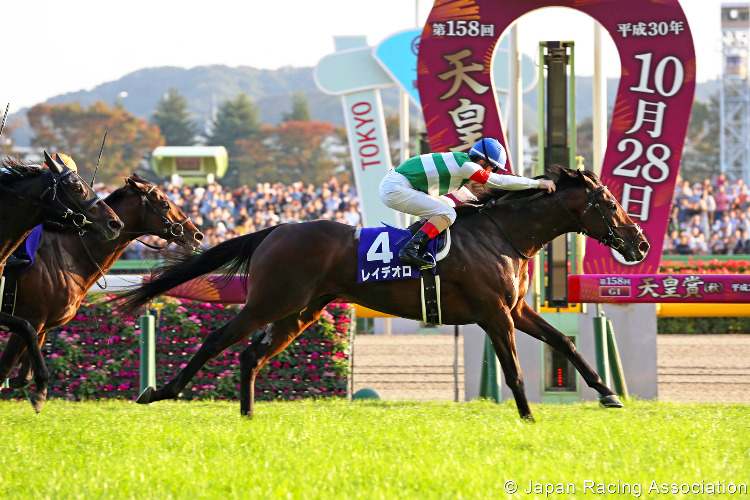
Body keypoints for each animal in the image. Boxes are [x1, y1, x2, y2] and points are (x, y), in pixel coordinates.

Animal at [0, 175, 204, 402]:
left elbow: (23, 376)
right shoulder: (31, 319)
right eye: (165, 203)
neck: (66, 254)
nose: (197, 235)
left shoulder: (42, 326)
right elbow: (5, 368)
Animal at [119, 167, 652, 422]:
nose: (641, 244)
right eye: (608, 203)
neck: (503, 234)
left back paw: (248, 415)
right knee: (218, 342)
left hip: (302, 311)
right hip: (270, 302)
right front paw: (528, 418)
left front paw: (608, 394)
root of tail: (277, 229)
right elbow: (515, 371)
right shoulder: (494, 314)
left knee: (252, 354)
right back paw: (159, 392)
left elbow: (563, 342)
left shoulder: (516, 309)